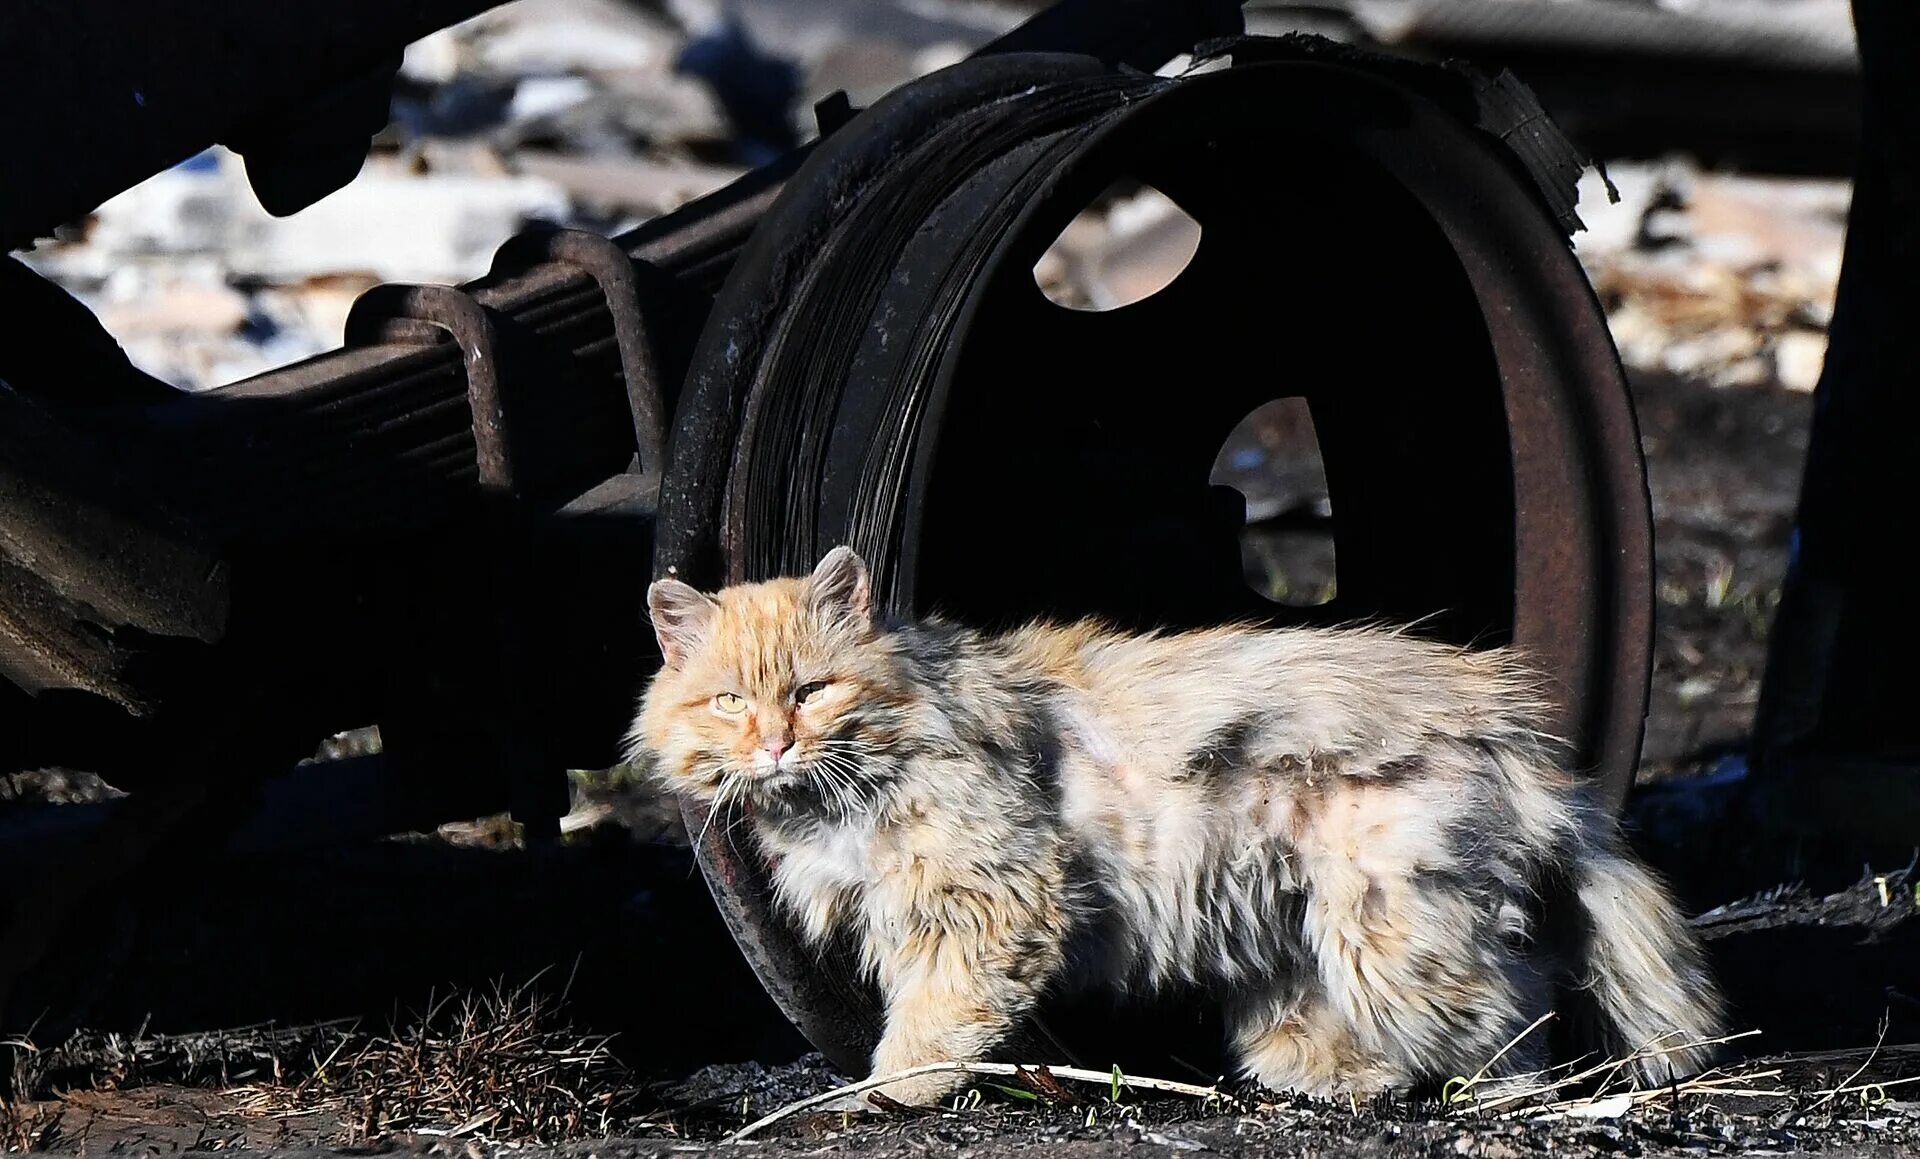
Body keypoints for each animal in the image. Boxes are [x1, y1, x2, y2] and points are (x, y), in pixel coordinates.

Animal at [629, 548, 1728, 1112]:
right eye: (730, 701)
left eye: (813, 690)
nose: (776, 742)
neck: (835, 797)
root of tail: (1502, 722)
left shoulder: (989, 901)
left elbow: (931, 1023)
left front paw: (890, 1093)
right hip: (1295, 927)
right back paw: (1331, 1076)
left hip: (1388, 925)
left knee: (1518, 1002)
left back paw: (1481, 1097)